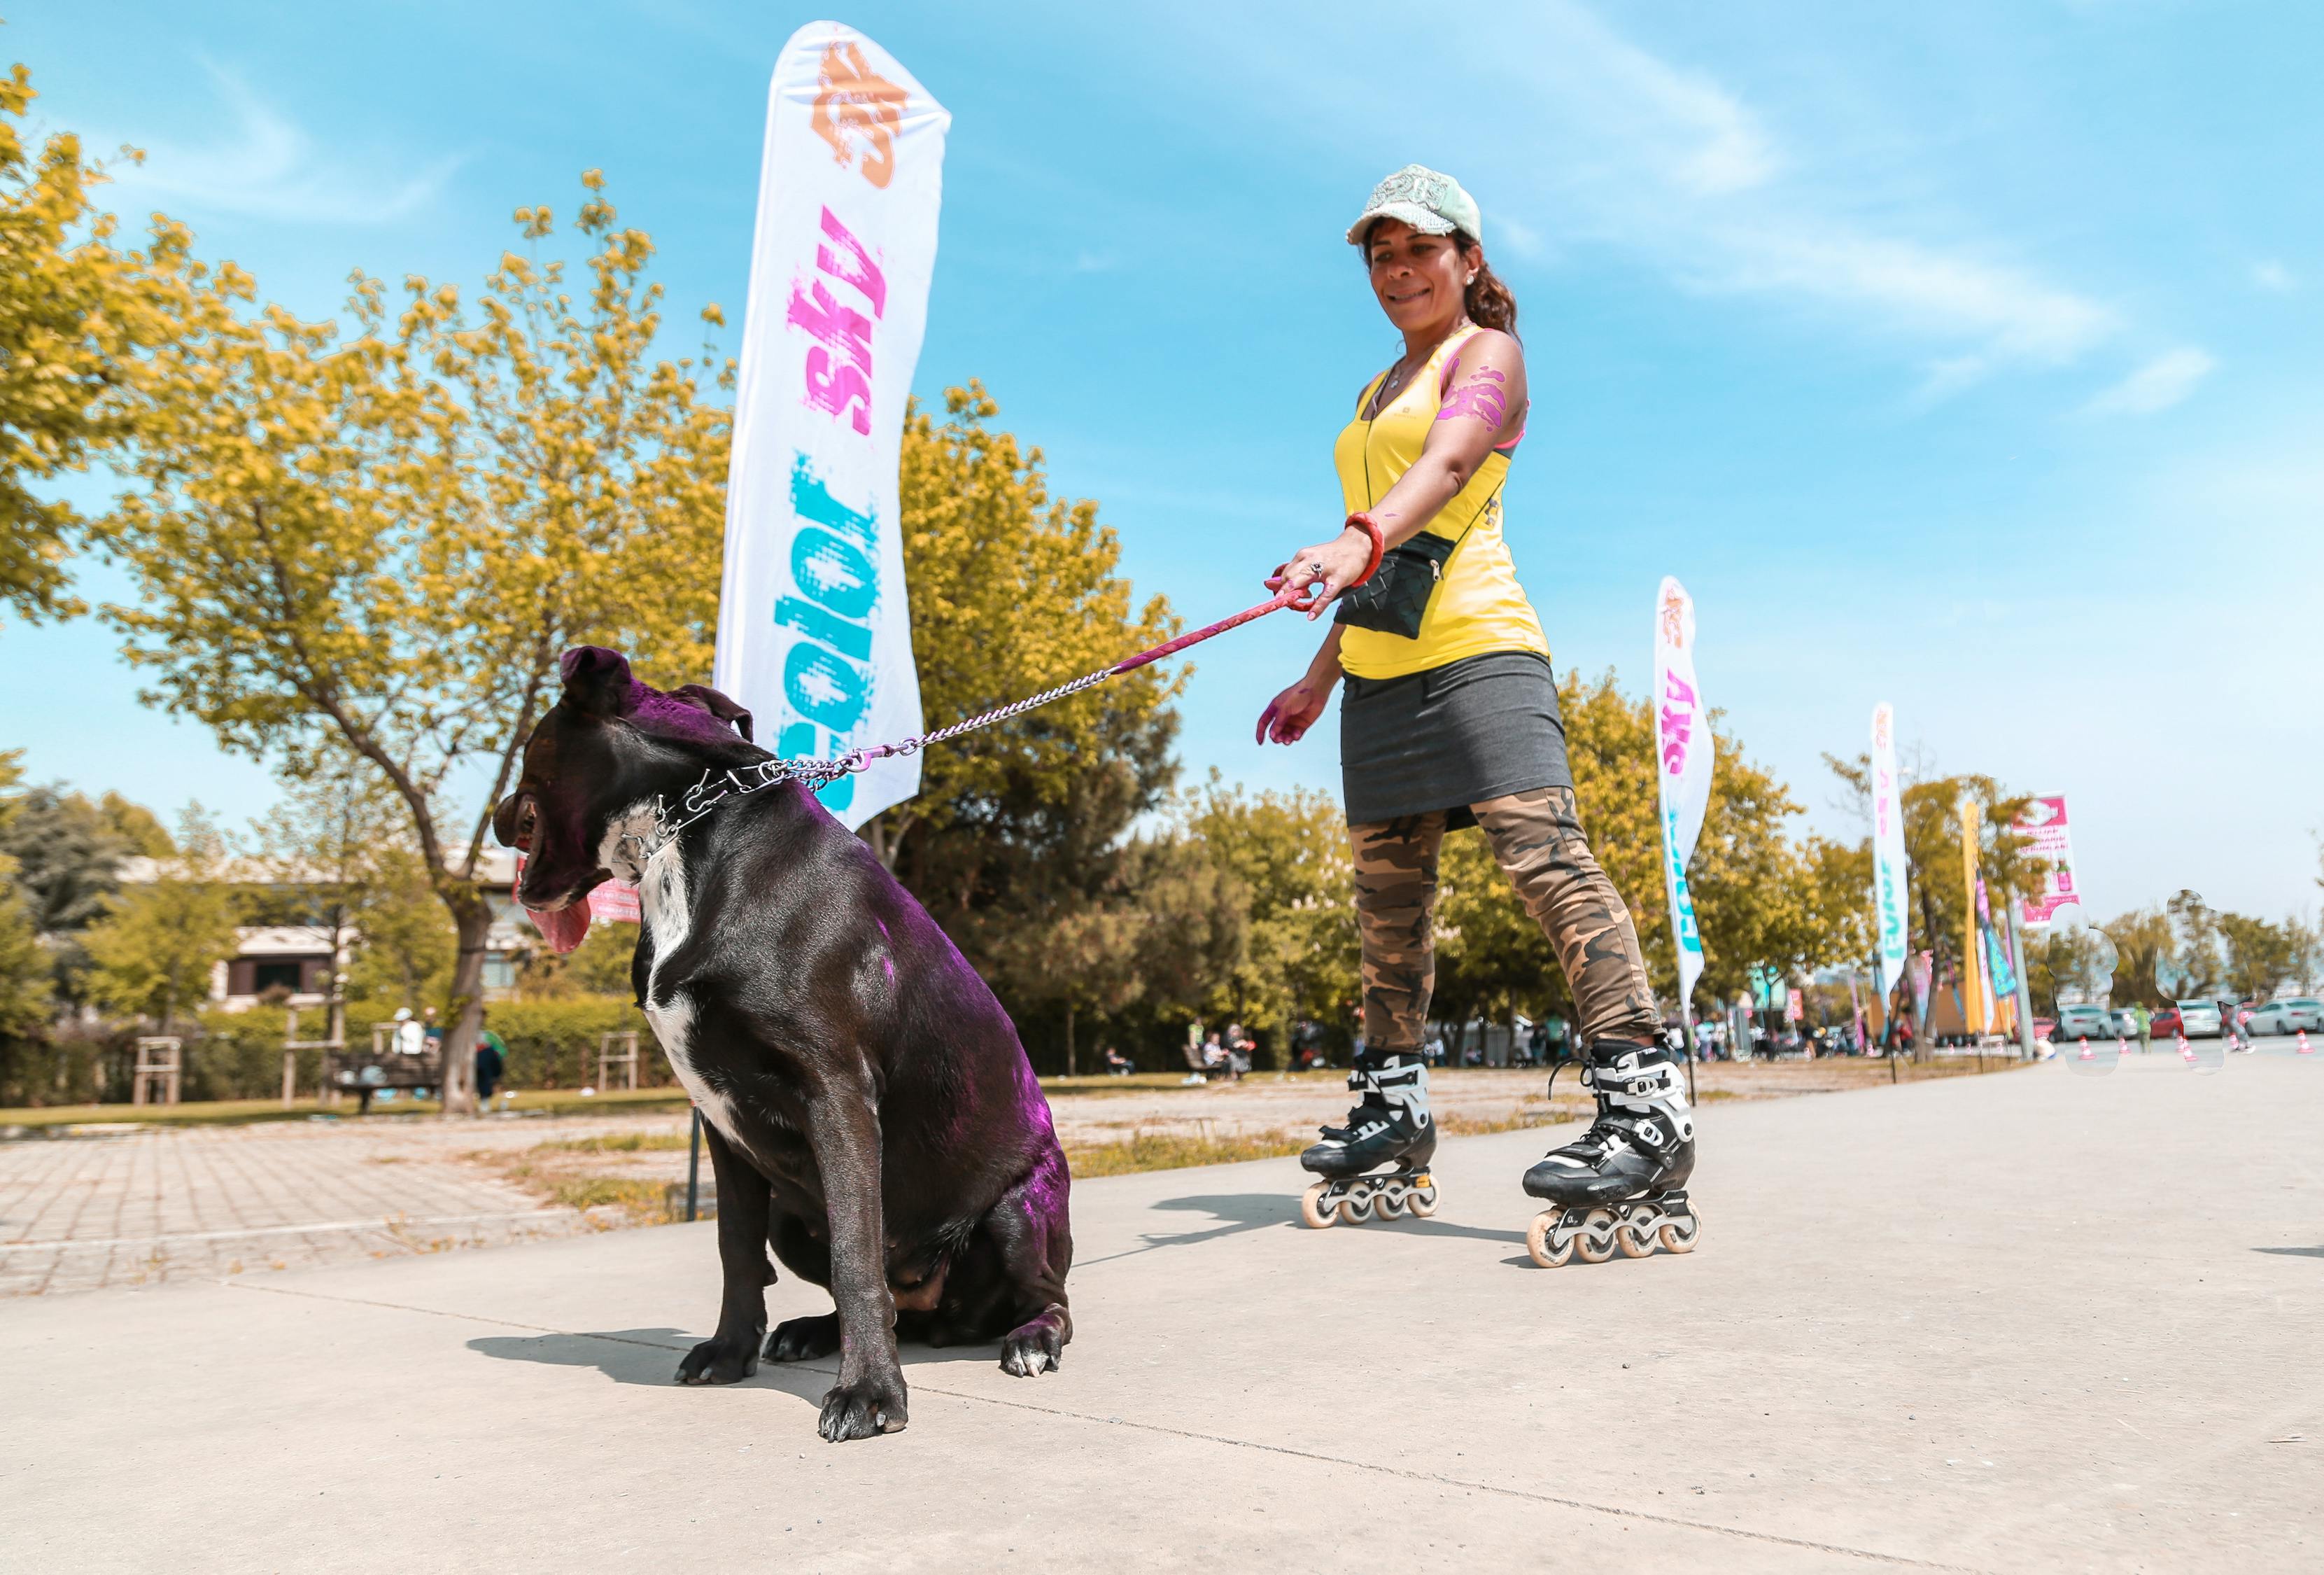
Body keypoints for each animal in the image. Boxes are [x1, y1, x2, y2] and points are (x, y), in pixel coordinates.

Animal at [502, 645, 1078, 1449]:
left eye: (531, 746)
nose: (498, 817)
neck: (690, 826)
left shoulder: (835, 1092)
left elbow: (856, 1253)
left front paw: (869, 1393)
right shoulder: (719, 1122)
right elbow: (736, 1249)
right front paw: (729, 1351)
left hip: (1018, 1208)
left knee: (1047, 1298)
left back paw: (1031, 1339)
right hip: (791, 1216)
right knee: (889, 1304)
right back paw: (812, 1331)